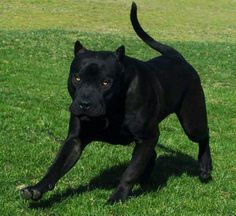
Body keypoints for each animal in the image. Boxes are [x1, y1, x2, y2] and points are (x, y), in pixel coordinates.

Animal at [20, 2, 212, 203]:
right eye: (77, 78)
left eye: (106, 82)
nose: (85, 104)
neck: (111, 109)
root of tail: (176, 57)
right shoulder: (76, 140)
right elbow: (56, 166)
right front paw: (36, 189)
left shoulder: (147, 137)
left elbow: (130, 172)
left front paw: (118, 196)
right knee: (152, 155)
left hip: (192, 121)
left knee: (204, 136)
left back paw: (205, 167)